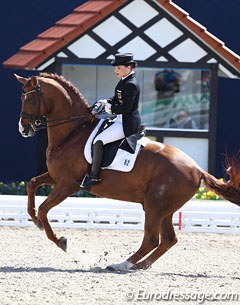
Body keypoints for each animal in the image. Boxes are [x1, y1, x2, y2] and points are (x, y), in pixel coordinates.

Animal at [15, 73, 240, 270]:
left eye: (32, 98)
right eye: (21, 97)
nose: (23, 129)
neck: (73, 132)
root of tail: (197, 169)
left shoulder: (67, 184)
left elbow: (44, 209)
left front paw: (60, 240)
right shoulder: (55, 177)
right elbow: (32, 184)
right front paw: (35, 220)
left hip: (155, 207)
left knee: (152, 240)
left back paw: (121, 264)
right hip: (165, 209)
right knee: (168, 240)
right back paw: (139, 266)